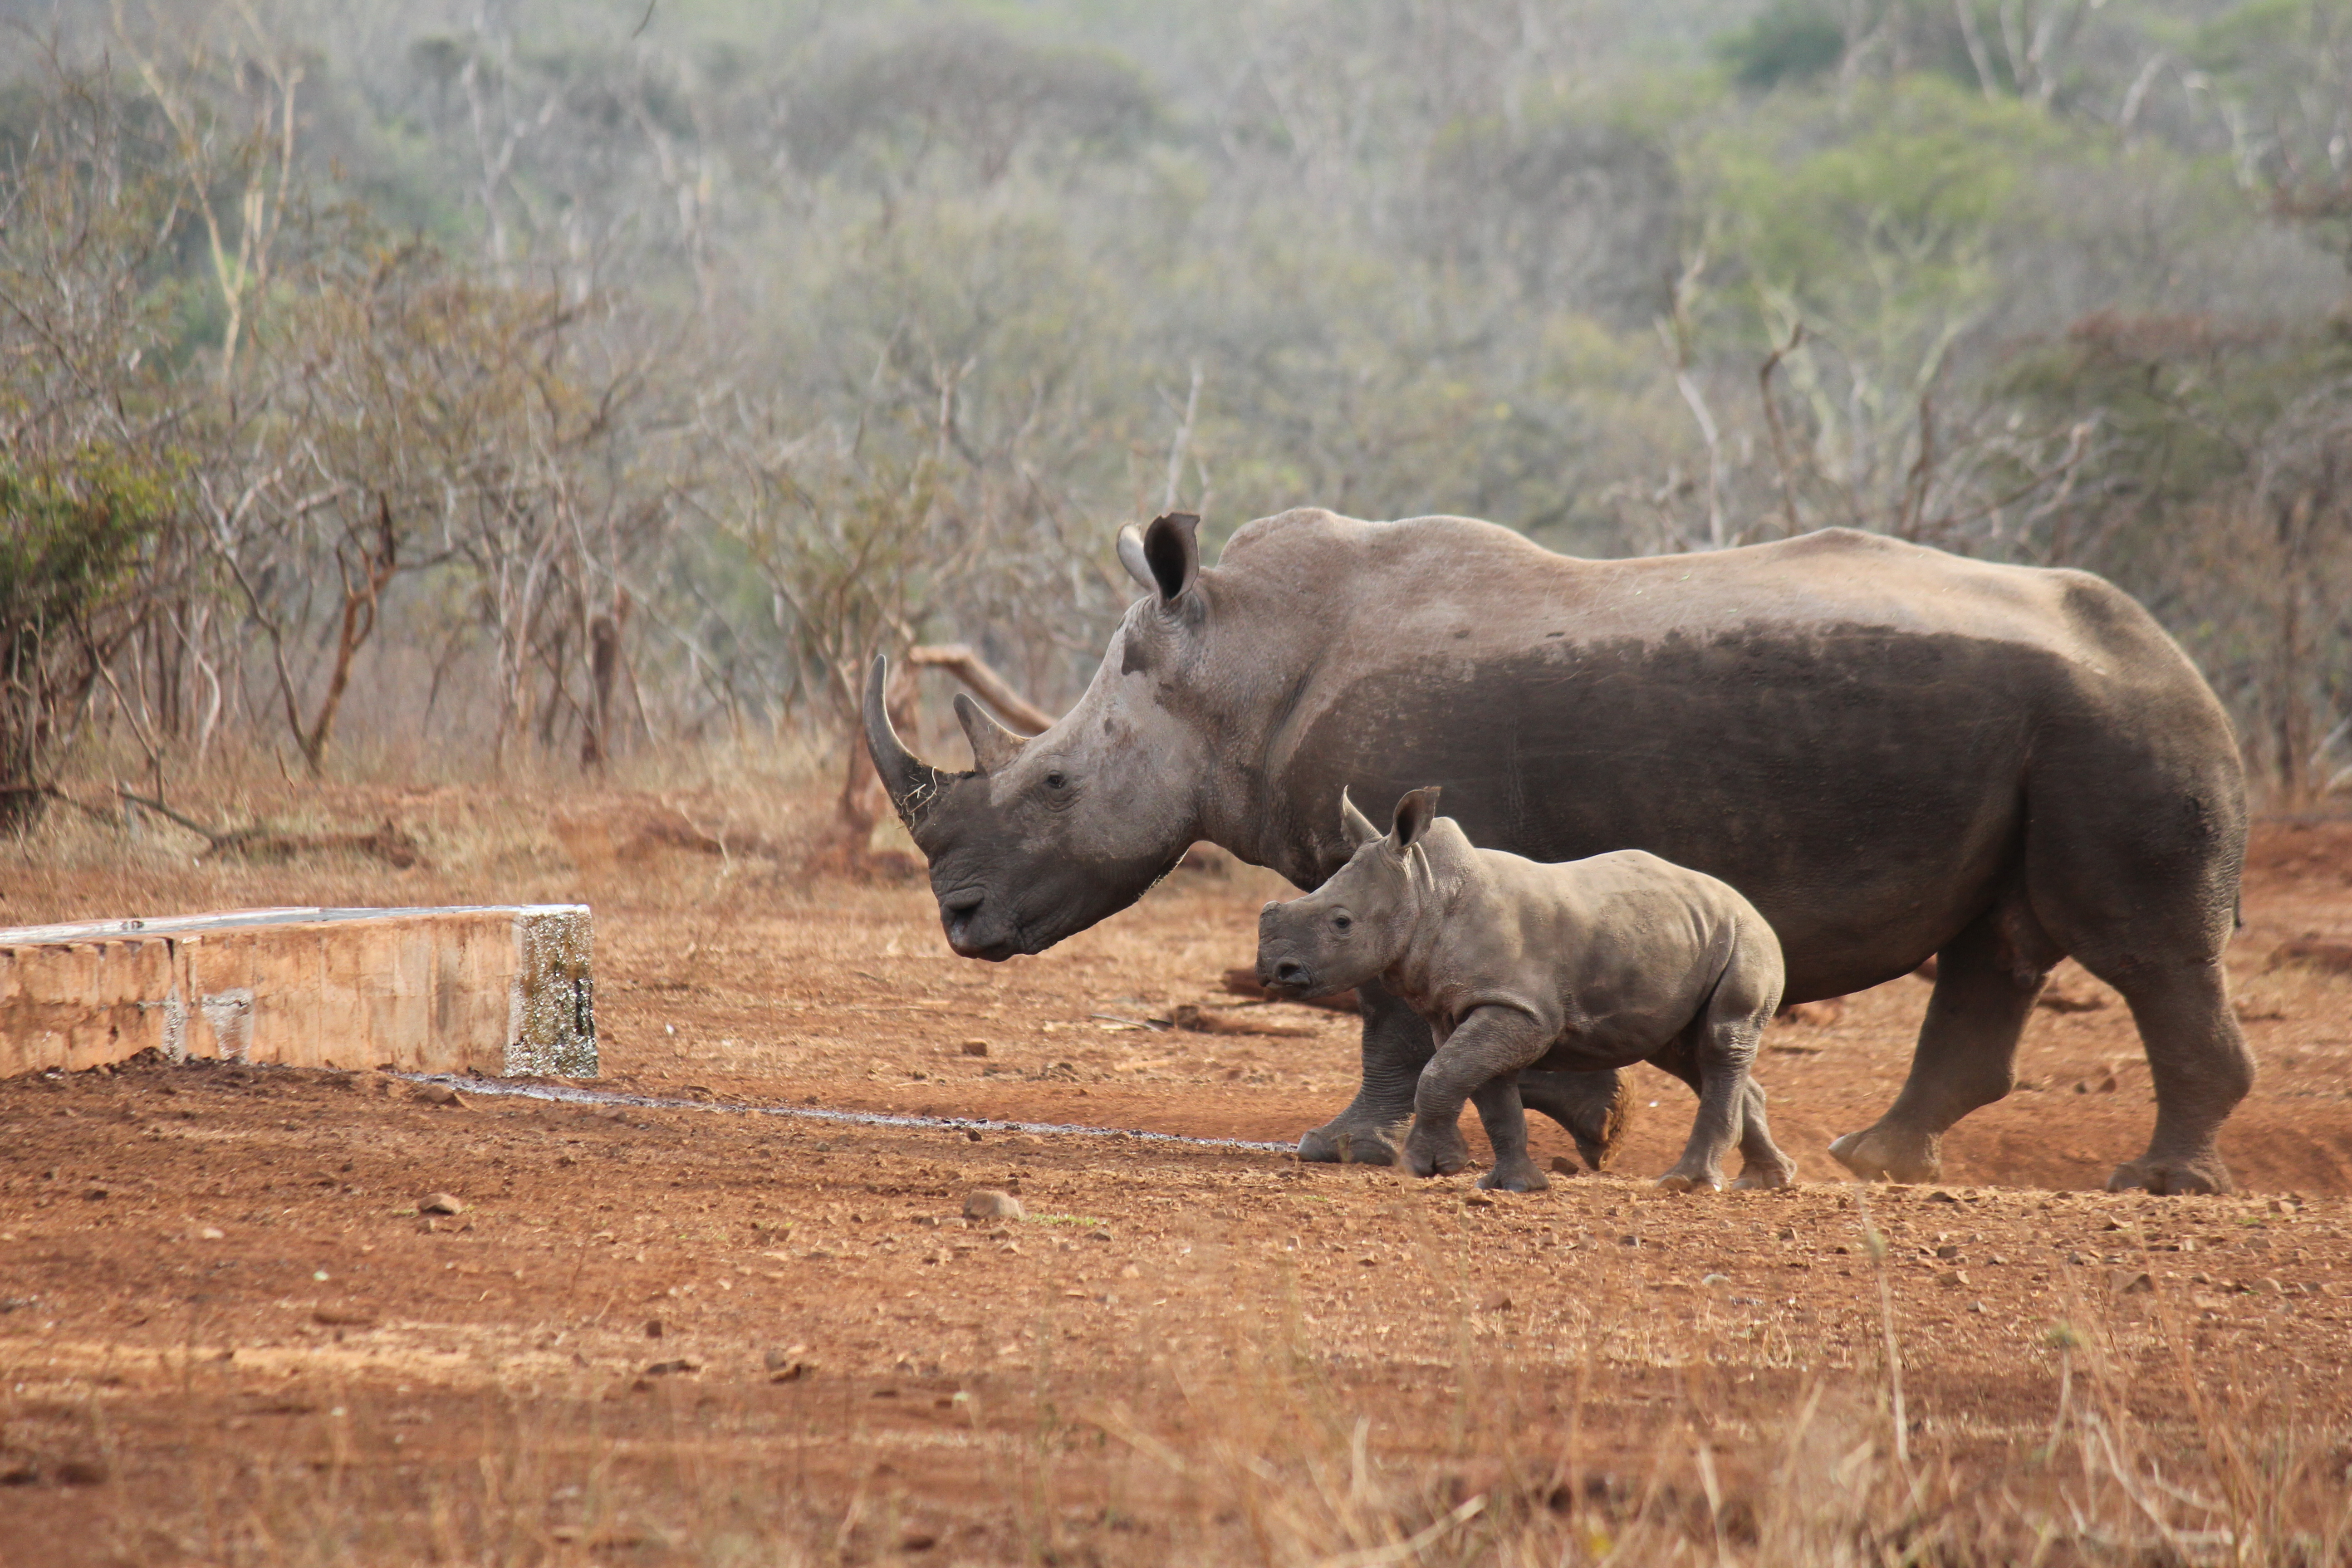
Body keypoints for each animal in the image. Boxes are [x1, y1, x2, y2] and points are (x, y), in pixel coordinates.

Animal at [1257, 787, 1794, 1194]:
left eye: (1342, 923)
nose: (1273, 971)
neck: (1427, 890)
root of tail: (1742, 900)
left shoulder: (1519, 1009)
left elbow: (1442, 1073)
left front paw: (1428, 1167)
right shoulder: (1474, 1007)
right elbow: (1484, 1090)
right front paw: (1513, 1186)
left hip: (1746, 936)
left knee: (1721, 1039)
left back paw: (1688, 1184)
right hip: (1684, 939)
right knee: (1686, 1051)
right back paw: (1768, 1181)